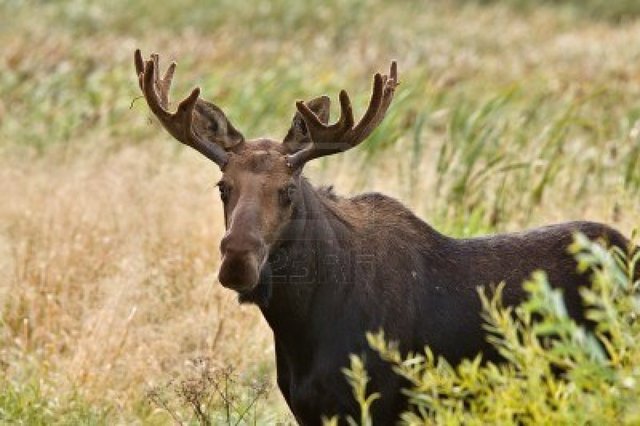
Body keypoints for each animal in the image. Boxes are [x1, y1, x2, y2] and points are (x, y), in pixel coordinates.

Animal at [134, 50, 635, 425]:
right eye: (223, 186)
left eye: (288, 190)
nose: (238, 259)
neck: (299, 325)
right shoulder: (309, 410)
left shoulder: (379, 403)